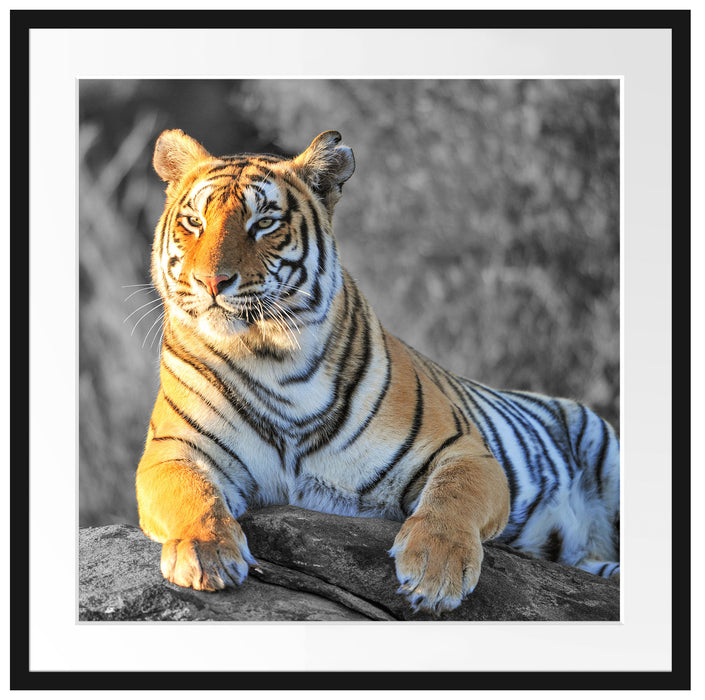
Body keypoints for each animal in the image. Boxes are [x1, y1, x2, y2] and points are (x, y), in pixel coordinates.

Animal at [136, 128, 620, 614]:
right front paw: (206, 553)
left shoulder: (464, 449)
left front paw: (436, 571)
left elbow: (452, 497)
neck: (271, 357)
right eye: (194, 222)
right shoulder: (172, 449)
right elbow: (192, 495)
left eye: (265, 223)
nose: (211, 282)